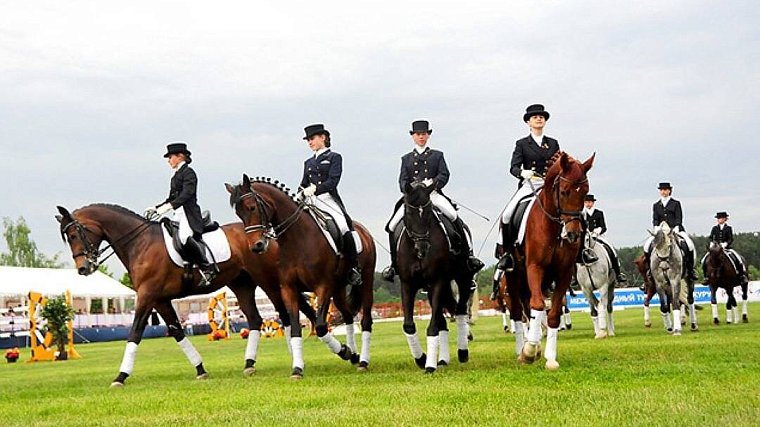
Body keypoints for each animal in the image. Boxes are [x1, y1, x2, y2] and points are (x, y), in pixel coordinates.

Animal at [54, 204, 314, 388]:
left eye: (75, 234)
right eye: (67, 238)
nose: (83, 269)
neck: (140, 243)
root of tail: (264, 236)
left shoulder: (147, 296)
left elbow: (135, 332)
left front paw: (121, 376)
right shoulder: (159, 299)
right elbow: (177, 332)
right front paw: (200, 370)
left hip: (268, 282)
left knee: (285, 315)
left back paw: (295, 359)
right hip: (242, 285)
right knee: (255, 319)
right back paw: (250, 365)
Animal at [229, 176, 378, 380]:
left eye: (252, 207)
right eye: (238, 213)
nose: (256, 246)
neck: (297, 239)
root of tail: (363, 230)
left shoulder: (323, 287)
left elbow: (321, 326)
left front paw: (342, 351)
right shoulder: (288, 288)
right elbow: (295, 328)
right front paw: (298, 369)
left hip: (366, 281)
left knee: (365, 321)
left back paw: (363, 361)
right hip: (339, 289)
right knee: (348, 316)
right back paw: (354, 355)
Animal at [398, 182, 476, 372]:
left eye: (428, 213)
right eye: (409, 213)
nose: (422, 248)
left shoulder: (437, 281)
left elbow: (433, 327)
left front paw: (429, 365)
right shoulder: (407, 284)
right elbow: (409, 325)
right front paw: (421, 359)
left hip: (462, 278)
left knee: (460, 311)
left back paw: (462, 351)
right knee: (445, 319)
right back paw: (443, 359)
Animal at [502, 151, 596, 372]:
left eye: (585, 192)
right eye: (564, 191)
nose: (573, 234)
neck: (553, 226)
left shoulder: (563, 273)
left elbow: (552, 313)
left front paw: (550, 358)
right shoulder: (535, 267)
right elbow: (537, 305)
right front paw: (528, 352)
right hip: (514, 276)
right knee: (518, 312)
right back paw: (522, 350)